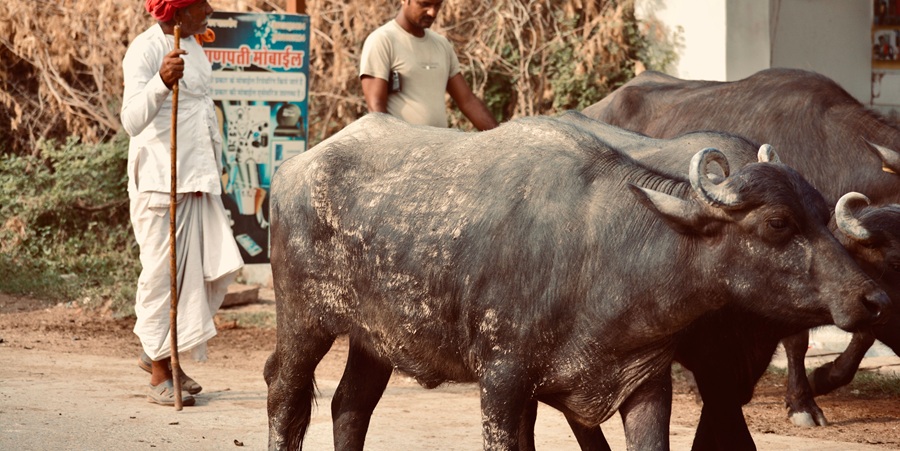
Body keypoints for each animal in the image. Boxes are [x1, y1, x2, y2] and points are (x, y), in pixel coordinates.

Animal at [264, 112, 888, 450]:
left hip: (374, 338)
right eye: (779, 223)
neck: (603, 255)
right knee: (285, 395)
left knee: (350, 405)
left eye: (823, 213)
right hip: (304, 321)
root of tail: (294, 167)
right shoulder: (503, 383)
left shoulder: (646, 384)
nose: (873, 298)